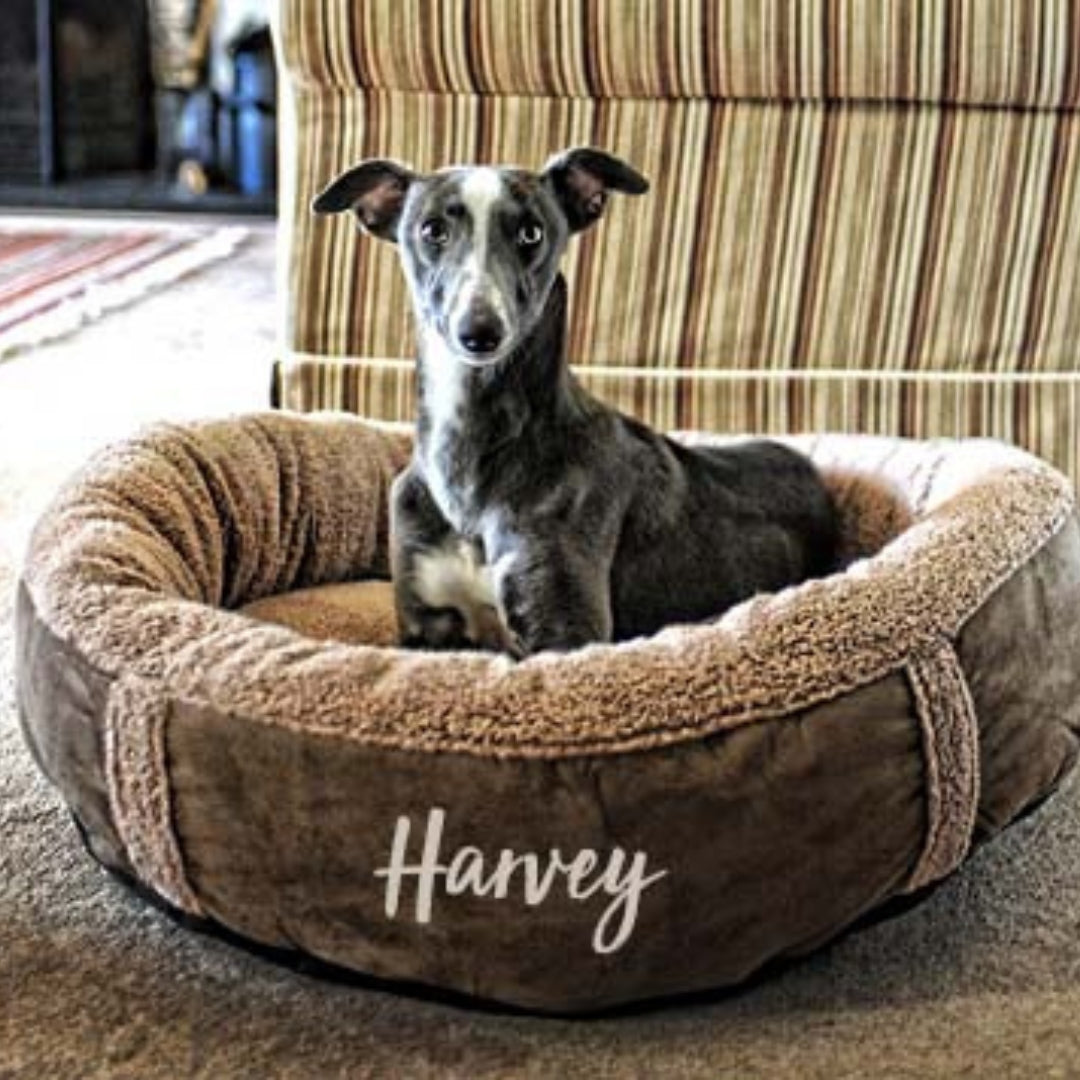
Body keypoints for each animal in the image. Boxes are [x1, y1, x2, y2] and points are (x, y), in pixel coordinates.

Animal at [313, 146, 842, 652]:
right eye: (432, 230)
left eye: (531, 232)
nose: (479, 332)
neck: (477, 446)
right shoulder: (427, 628)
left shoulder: (564, 634)